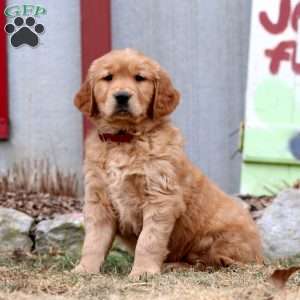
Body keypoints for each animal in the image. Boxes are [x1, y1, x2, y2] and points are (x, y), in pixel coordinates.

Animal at [72, 48, 262, 276]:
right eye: (108, 78)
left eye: (139, 78)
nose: (122, 96)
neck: (124, 139)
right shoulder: (98, 199)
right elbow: (94, 241)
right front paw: (85, 269)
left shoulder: (161, 197)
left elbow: (149, 240)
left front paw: (143, 271)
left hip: (219, 239)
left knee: (213, 261)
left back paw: (175, 265)